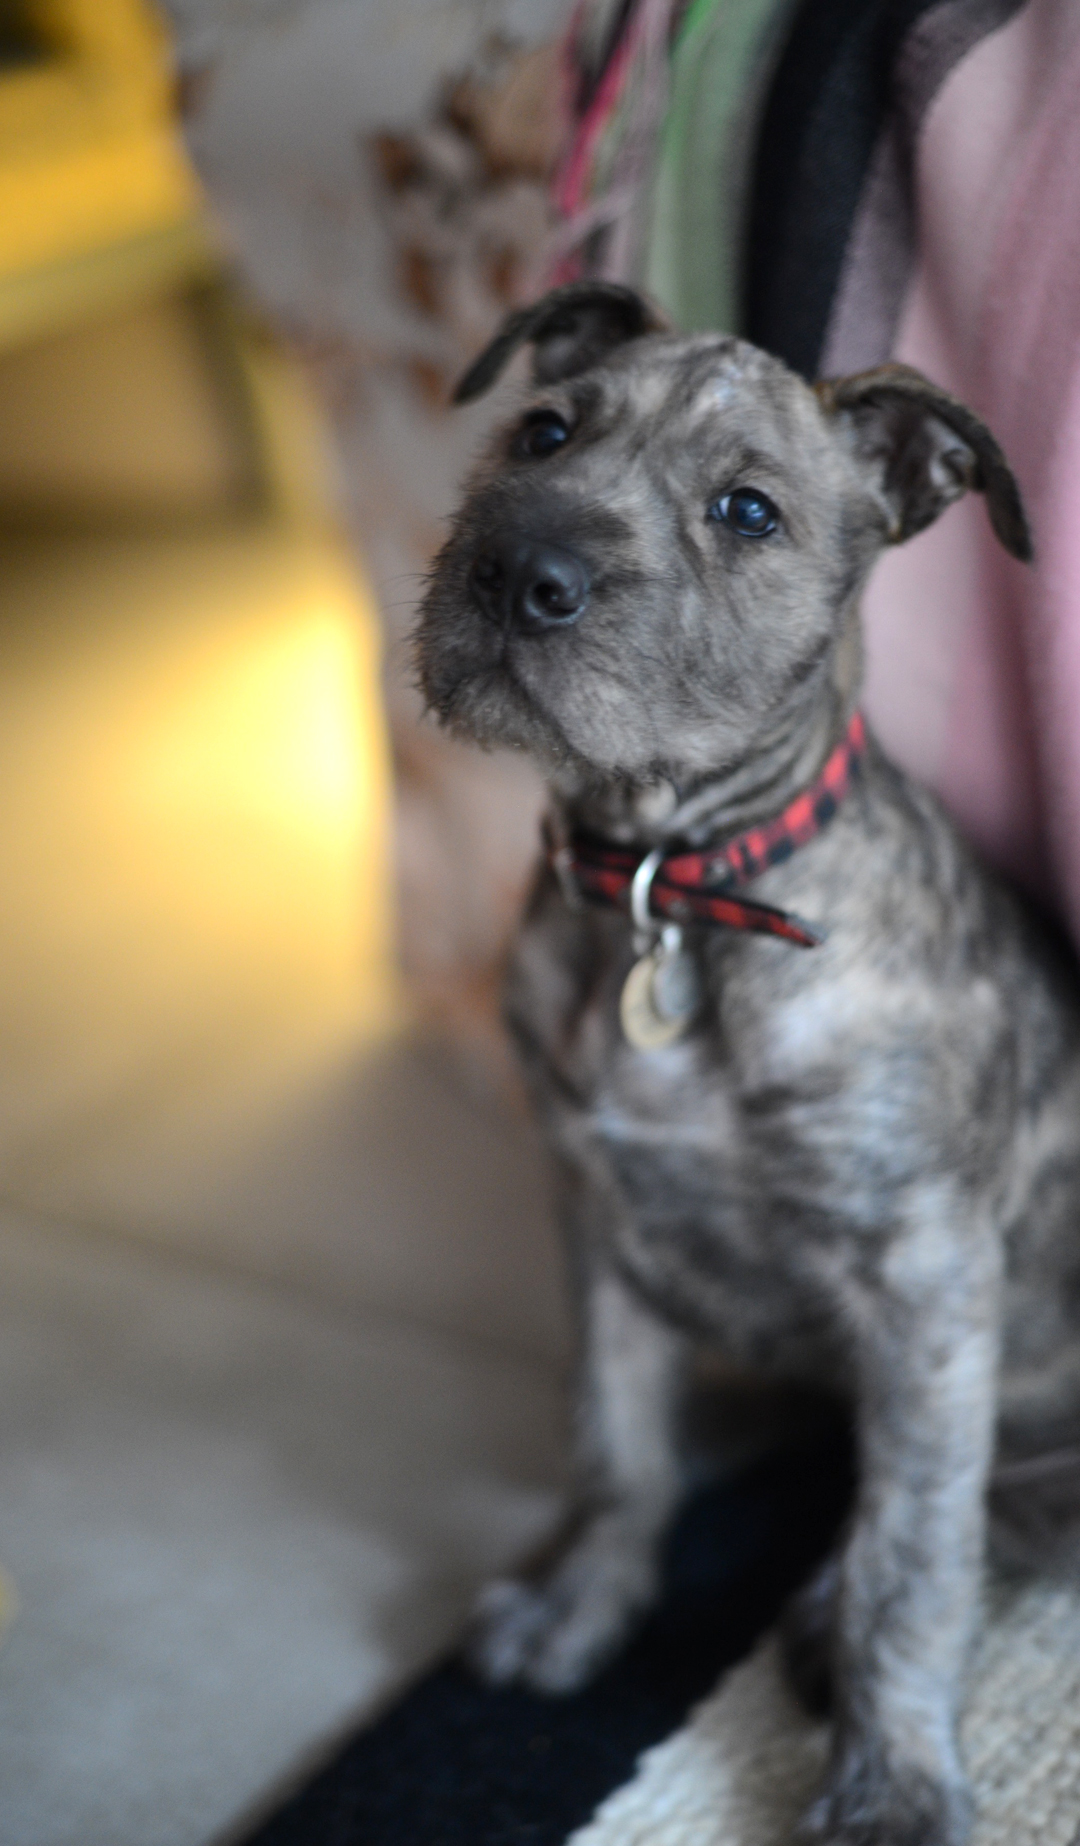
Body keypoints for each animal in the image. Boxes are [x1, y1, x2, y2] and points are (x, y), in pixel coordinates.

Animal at [415, 276, 1078, 1846]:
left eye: (748, 511)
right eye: (543, 431)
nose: (518, 570)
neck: (668, 889)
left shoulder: (926, 1279)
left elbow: (915, 1548)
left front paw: (892, 1783)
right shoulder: (595, 1215)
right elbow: (616, 1442)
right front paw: (581, 1606)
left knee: (992, 1513)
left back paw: (828, 1618)